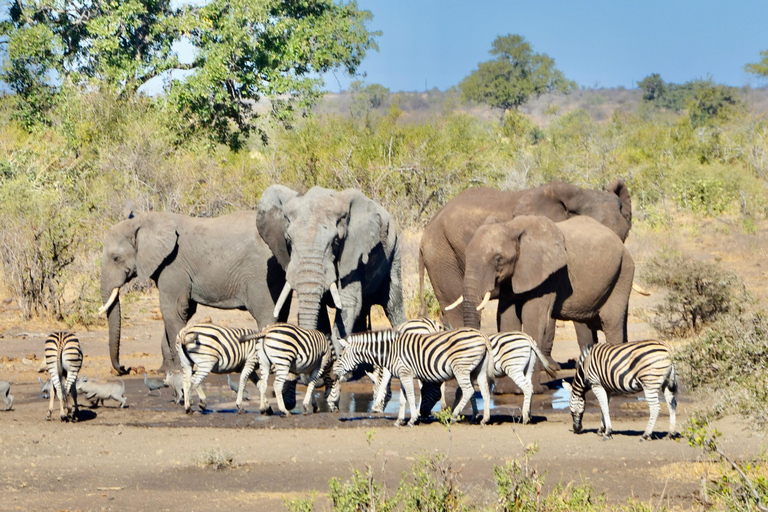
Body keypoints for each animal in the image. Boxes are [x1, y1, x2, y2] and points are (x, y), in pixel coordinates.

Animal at [97, 206, 286, 374]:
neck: (144, 221)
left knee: (265, 315)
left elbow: (172, 310)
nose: (124, 368)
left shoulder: (173, 265)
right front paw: (164, 371)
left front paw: (179, 370)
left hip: (261, 273)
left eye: (116, 258)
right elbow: (182, 312)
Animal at [255, 184, 404, 344]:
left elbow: (347, 303)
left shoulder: (352, 251)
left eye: (336, 241)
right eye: (288, 240)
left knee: (394, 305)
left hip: (394, 252)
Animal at [452, 214, 632, 390]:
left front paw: (530, 389)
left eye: (498, 259)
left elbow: (532, 317)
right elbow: (506, 317)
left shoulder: (549, 275)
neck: (512, 227)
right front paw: (507, 390)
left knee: (611, 322)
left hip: (623, 272)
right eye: (466, 255)